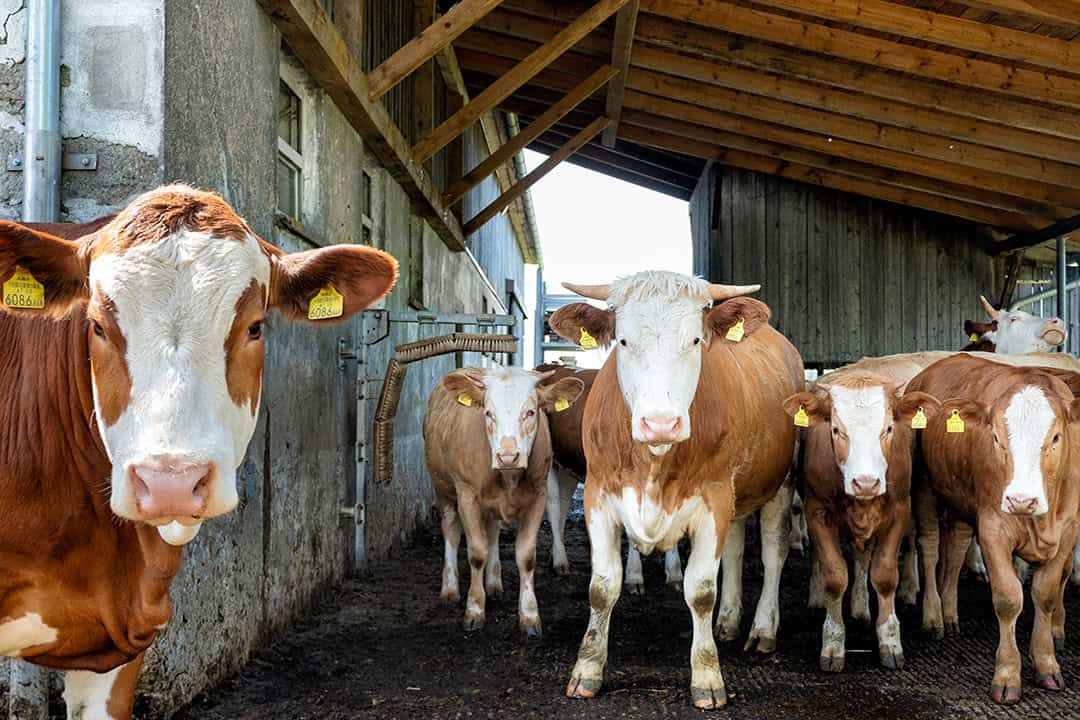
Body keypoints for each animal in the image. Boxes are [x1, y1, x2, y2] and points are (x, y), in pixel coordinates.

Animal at [424, 367, 584, 637]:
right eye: (488, 412)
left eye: (530, 412)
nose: (507, 456)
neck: (508, 476)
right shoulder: (467, 496)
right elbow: (476, 552)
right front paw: (474, 610)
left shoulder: (537, 497)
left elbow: (526, 556)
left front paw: (529, 616)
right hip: (443, 488)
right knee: (451, 532)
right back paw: (450, 587)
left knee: (493, 533)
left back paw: (493, 582)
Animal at [537, 362, 683, 591]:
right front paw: (634, 576)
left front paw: (675, 572)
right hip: (550, 460)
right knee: (553, 504)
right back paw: (560, 561)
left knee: (564, 502)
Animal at [784, 374, 940, 672]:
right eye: (835, 430)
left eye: (889, 428)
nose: (866, 483)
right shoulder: (816, 511)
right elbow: (835, 576)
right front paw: (833, 642)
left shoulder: (899, 509)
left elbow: (884, 575)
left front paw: (890, 640)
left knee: (863, 556)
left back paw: (860, 608)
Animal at [908, 355, 1080, 704]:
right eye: (997, 438)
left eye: (1056, 437)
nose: (1021, 500)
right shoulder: (992, 529)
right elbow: (1008, 598)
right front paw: (1007, 675)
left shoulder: (1068, 531)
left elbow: (1045, 594)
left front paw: (1047, 663)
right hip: (925, 488)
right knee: (930, 549)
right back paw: (934, 617)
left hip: (961, 501)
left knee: (956, 549)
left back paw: (950, 610)